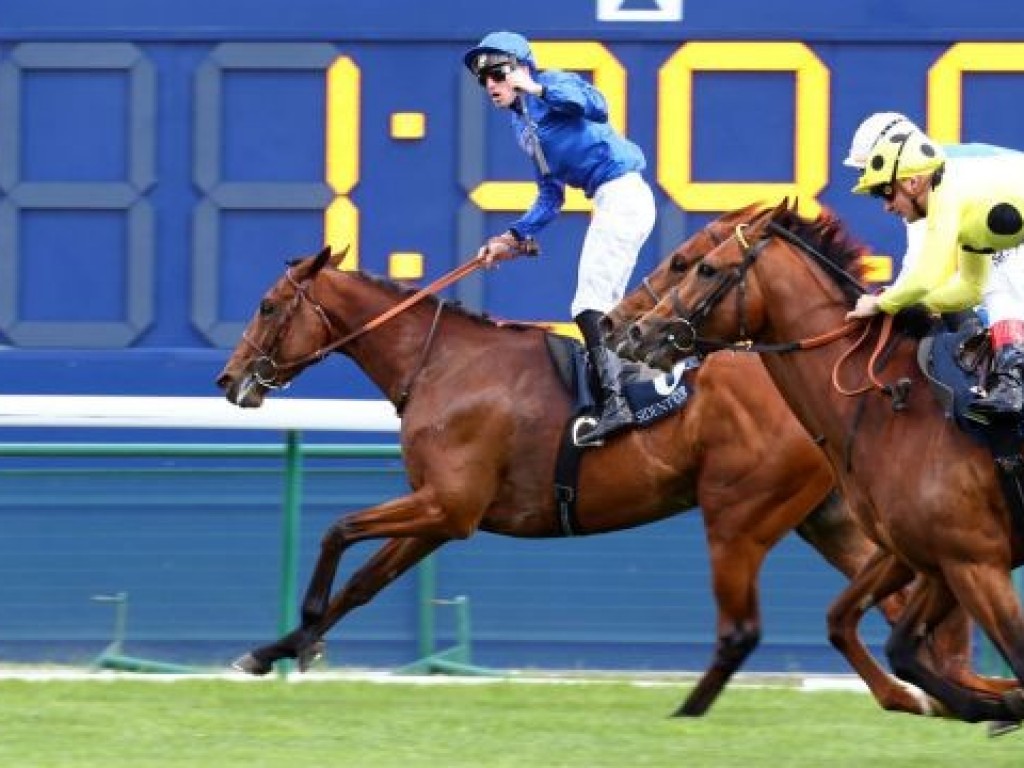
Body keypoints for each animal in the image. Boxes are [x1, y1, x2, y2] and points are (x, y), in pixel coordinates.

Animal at [630, 201, 1024, 724]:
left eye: (701, 267)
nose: (638, 331)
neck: (889, 407)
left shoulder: (976, 561)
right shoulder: (928, 556)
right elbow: (864, 630)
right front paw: (982, 703)